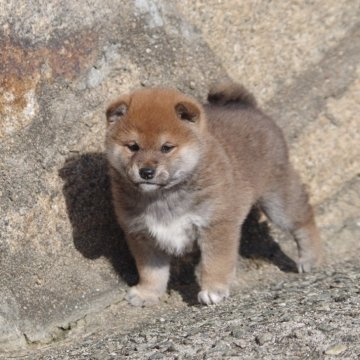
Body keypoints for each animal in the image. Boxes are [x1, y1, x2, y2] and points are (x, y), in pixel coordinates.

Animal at [105, 82, 322, 306]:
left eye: (166, 148)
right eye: (133, 146)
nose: (146, 172)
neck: (164, 197)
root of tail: (246, 106)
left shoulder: (215, 225)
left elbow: (215, 262)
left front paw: (213, 289)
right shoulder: (143, 236)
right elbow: (151, 273)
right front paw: (147, 293)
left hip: (278, 201)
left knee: (303, 221)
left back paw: (311, 258)